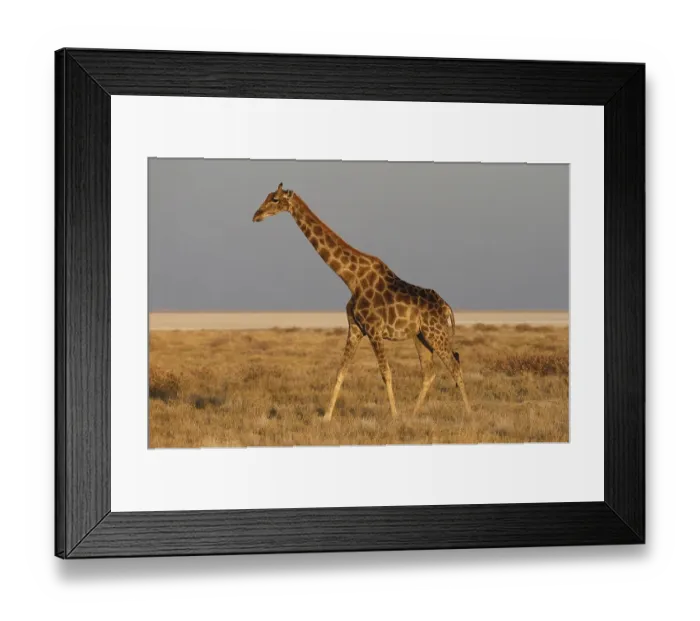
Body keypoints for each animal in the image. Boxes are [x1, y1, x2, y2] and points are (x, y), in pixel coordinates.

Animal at [252, 183, 471, 421]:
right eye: (267, 196)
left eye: (275, 199)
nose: (256, 215)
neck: (351, 279)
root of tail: (446, 307)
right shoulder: (356, 328)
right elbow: (341, 371)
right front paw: (326, 417)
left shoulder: (374, 330)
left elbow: (386, 373)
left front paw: (394, 417)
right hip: (420, 336)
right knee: (429, 372)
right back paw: (413, 414)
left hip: (435, 333)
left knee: (455, 366)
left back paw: (470, 414)